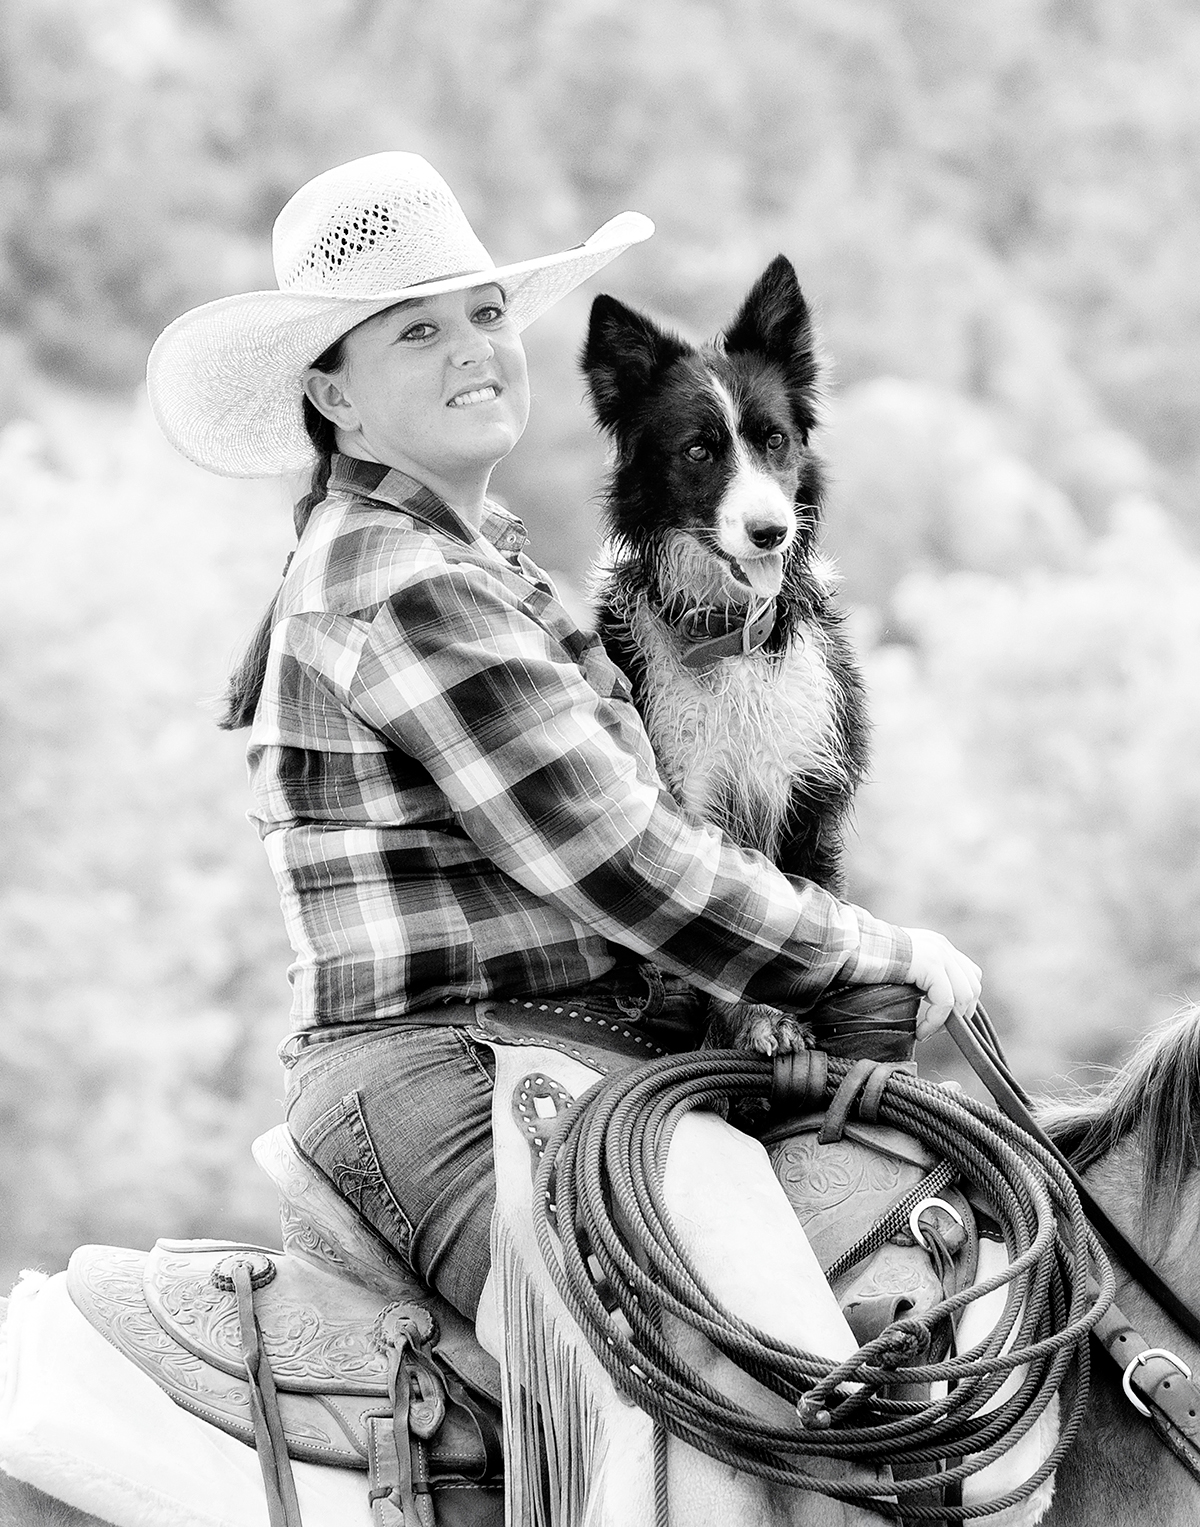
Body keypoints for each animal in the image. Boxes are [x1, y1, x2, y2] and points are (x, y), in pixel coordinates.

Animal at [583, 256, 867, 1056]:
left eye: (774, 439)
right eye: (699, 450)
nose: (771, 532)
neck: (731, 633)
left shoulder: (809, 794)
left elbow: (803, 914)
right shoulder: (688, 798)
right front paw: (756, 1023)